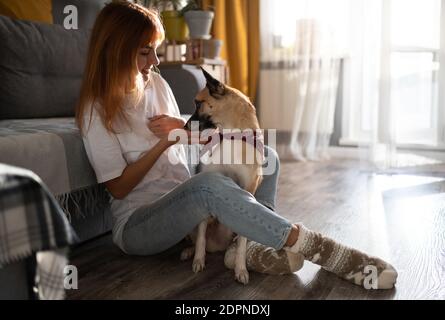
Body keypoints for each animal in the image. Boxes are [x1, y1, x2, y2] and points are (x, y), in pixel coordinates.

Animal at [181, 66, 264, 284]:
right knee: (197, 236)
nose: (184, 127)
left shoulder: (248, 191)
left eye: (198, 103)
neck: (231, 135)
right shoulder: (207, 184)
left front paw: (240, 268)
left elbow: (242, 238)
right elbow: (201, 234)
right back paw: (189, 251)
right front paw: (198, 259)